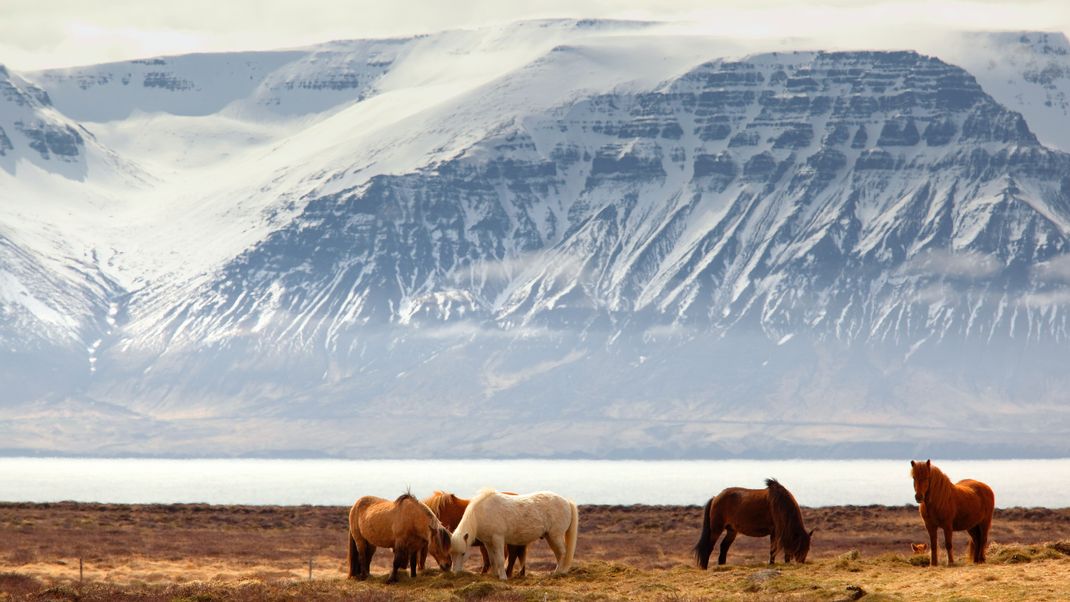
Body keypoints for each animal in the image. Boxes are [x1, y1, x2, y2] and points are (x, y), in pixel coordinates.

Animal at [449, 487, 577, 581]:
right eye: (451, 554)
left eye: (463, 553)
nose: (455, 573)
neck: (482, 512)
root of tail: (567, 501)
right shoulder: (488, 543)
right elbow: (492, 559)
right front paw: (494, 575)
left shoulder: (498, 539)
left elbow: (500, 559)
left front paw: (503, 577)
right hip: (550, 537)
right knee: (558, 554)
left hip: (556, 536)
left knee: (562, 553)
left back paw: (558, 573)